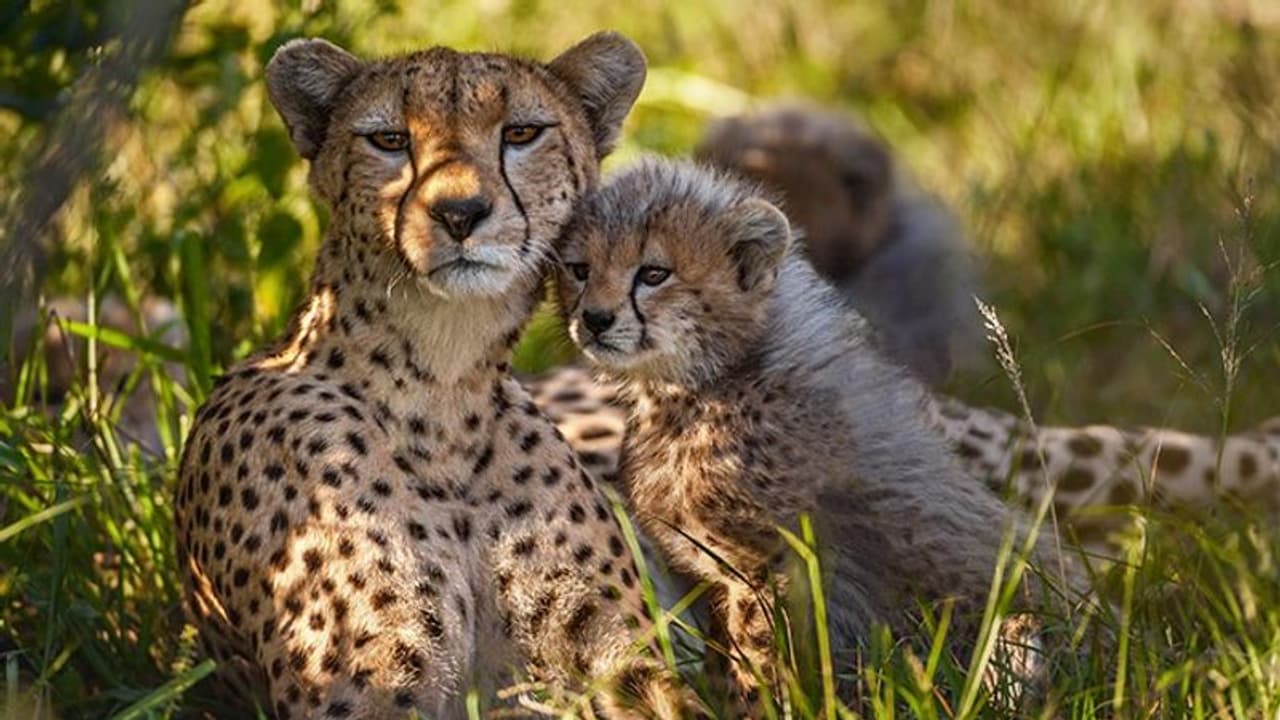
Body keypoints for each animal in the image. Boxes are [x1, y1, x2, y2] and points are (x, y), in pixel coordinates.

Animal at [174, 33, 702, 719]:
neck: (445, 385)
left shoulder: (617, 661)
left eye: (521, 132)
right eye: (389, 140)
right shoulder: (368, 685)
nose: (460, 212)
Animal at [551, 157, 1082, 709]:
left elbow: (761, 659)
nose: (594, 319)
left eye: (654, 274)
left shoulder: (773, 562)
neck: (705, 384)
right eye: (580, 269)